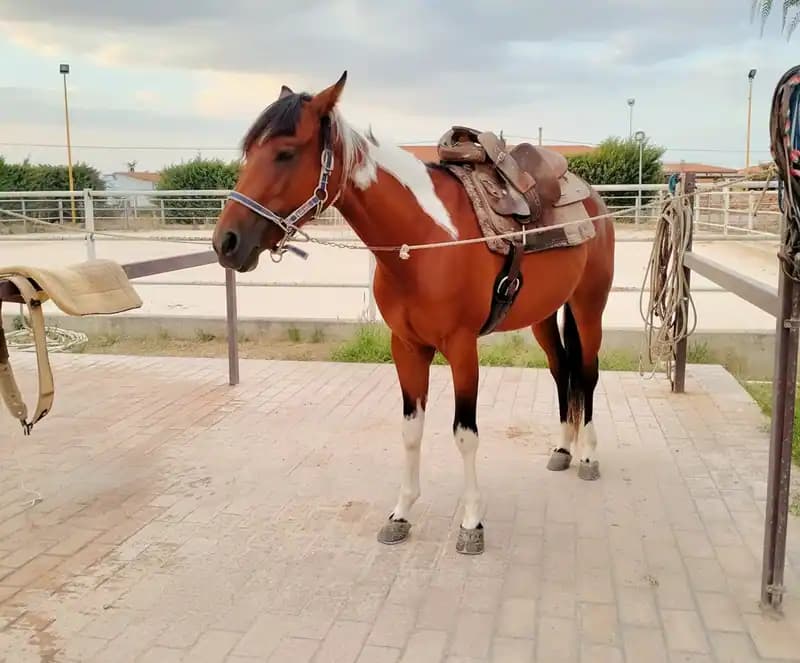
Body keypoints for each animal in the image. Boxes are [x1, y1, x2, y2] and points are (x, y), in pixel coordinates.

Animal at [212, 71, 615, 554]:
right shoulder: (406, 347)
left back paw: (589, 455)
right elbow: (411, 430)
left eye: (286, 153)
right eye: (249, 152)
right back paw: (563, 450)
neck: (423, 239)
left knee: (587, 372)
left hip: (589, 307)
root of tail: (592, 199)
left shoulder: (461, 348)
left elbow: (465, 434)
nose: (226, 242)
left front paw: (471, 522)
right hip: (543, 316)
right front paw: (401, 513)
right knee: (561, 370)